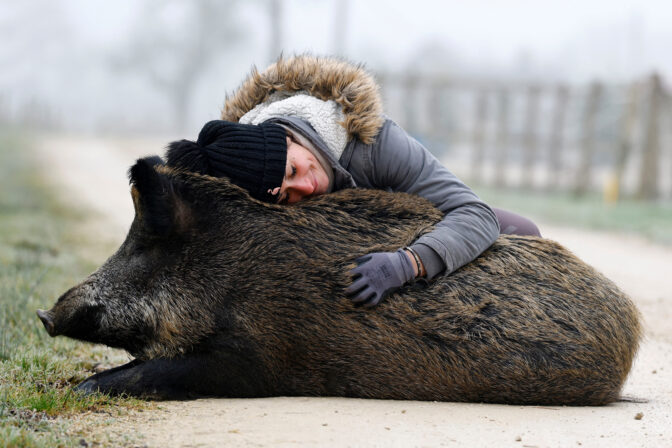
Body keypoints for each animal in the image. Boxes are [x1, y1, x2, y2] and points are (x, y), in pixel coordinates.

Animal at [37, 156, 641, 405]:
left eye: (145, 244)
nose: (44, 314)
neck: (227, 269)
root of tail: (632, 325)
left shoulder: (256, 359)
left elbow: (154, 370)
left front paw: (78, 388)